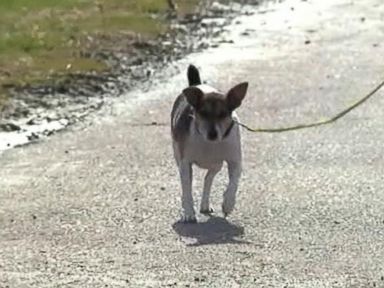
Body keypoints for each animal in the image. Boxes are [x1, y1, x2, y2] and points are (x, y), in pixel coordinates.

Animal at [171, 65, 249, 223]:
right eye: (203, 113)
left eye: (223, 114)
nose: (212, 133)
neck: (210, 143)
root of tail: (197, 84)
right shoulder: (185, 163)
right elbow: (187, 189)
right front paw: (189, 212)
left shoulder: (235, 161)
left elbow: (233, 183)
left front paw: (228, 203)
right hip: (178, 155)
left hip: (216, 165)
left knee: (208, 180)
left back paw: (205, 204)